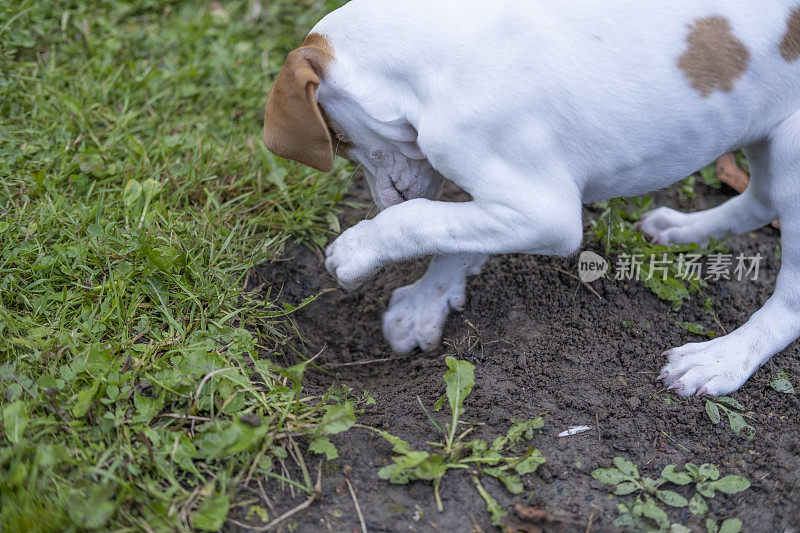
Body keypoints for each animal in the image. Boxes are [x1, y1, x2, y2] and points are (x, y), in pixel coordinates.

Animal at [262, 0, 800, 396]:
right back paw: (685, 229)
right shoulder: (508, 195)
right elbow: (452, 233)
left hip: (793, 156)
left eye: (338, 140)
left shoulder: (545, 212)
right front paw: (424, 305)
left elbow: (420, 219)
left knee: (790, 291)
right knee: (760, 199)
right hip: (763, 131)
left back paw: (722, 358)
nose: (384, 200)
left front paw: (360, 249)